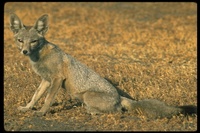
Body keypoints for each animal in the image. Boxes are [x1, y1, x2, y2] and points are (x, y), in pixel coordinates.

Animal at [8, 13, 196, 118]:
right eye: (20, 40)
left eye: (33, 41)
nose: (24, 51)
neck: (40, 57)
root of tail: (119, 97)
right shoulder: (46, 80)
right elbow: (35, 96)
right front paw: (27, 108)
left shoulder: (56, 79)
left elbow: (47, 99)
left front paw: (42, 112)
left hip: (87, 96)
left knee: (118, 111)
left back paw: (94, 112)